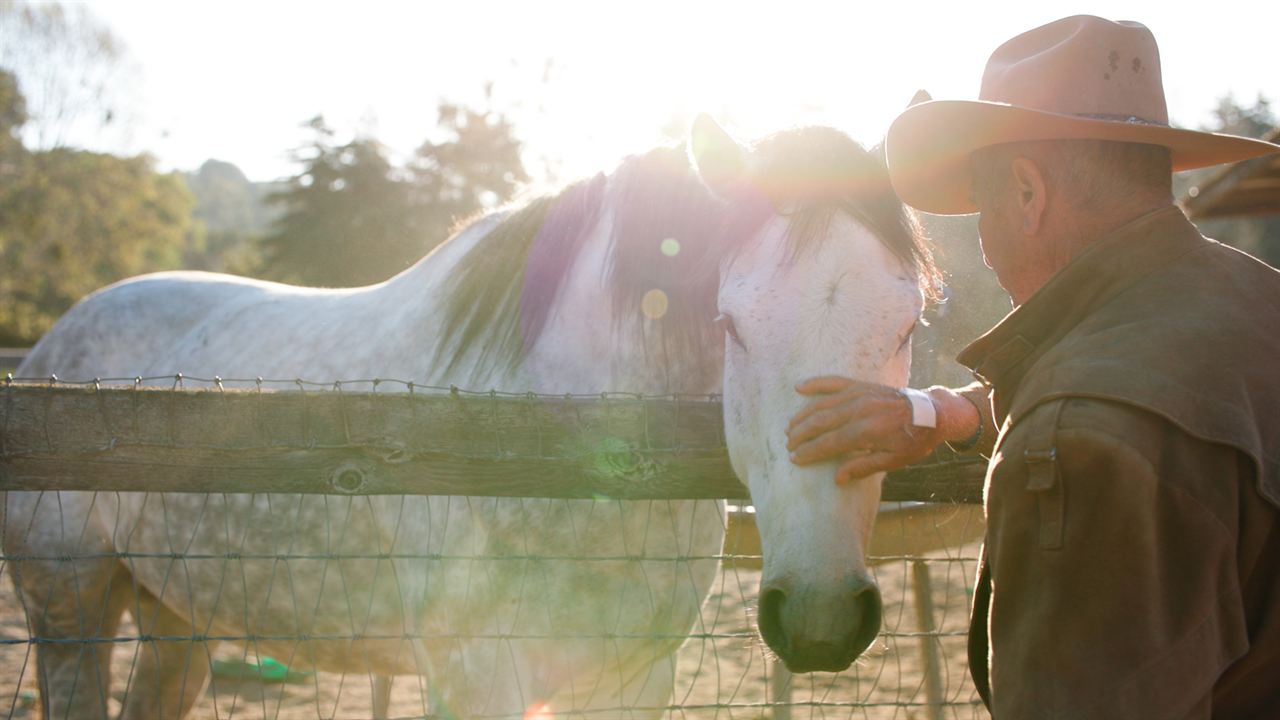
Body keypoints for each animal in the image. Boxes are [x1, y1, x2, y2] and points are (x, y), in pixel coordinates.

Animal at [5, 114, 936, 712]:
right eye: (732, 321)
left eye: (909, 323)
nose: (819, 615)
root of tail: (54, 350)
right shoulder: (474, 675)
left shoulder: (634, 675)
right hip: (71, 610)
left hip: (176, 616)